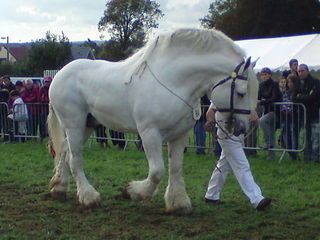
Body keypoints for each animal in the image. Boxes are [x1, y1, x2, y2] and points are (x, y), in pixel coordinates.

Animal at [47, 28, 258, 214]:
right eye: (241, 93)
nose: (243, 128)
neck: (173, 80)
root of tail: (59, 75)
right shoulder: (150, 133)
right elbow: (157, 171)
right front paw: (132, 192)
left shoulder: (180, 135)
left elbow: (175, 168)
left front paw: (178, 203)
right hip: (74, 124)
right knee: (75, 159)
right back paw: (89, 197)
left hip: (87, 125)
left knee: (65, 150)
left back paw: (59, 188)